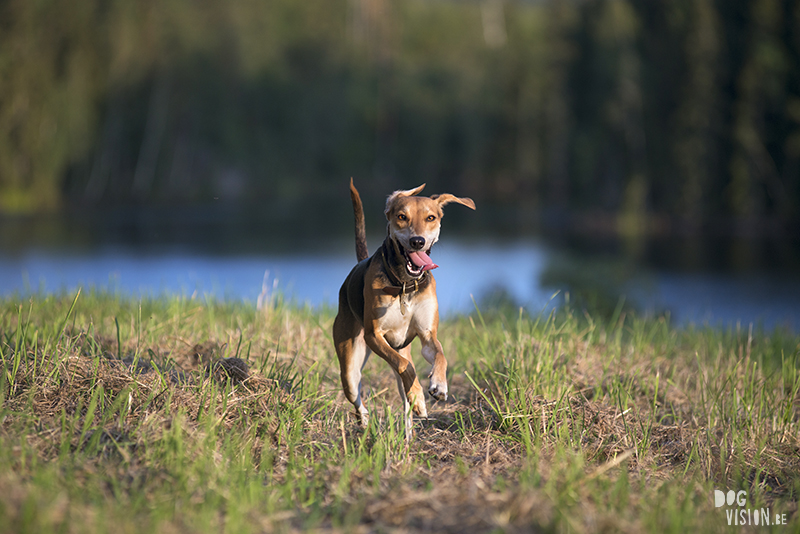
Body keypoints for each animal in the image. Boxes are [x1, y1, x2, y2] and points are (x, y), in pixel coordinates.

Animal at [332, 179, 476, 432]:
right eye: (401, 216)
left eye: (431, 217)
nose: (417, 241)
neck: (404, 285)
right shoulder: (374, 335)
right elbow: (405, 366)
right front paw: (419, 396)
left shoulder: (427, 335)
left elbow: (440, 355)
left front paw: (439, 385)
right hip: (350, 365)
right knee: (357, 394)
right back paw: (366, 421)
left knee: (404, 396)